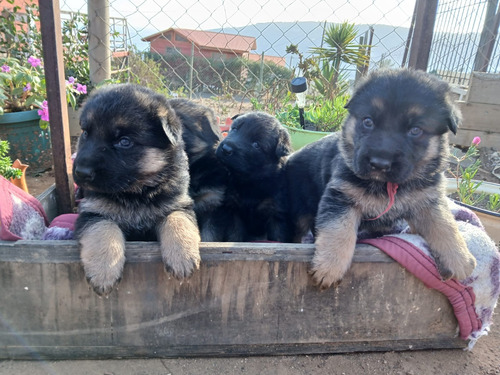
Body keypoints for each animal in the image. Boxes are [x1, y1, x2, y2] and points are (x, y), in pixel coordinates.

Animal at [73, 85, 201, 296]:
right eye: (85, 133)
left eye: (124, 141)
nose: (81, 173)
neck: (136, 192)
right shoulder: (92, 212)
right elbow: (103, 228)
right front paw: (104, 271)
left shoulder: (179, 204)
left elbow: (177, 219)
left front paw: (183, 256)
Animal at [215, 111, 292, 242]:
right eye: (235, 129)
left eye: (256, 144)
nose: (226, 149)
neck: (250, 181)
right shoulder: (233, 211)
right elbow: (235, 236)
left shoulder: (276, 213)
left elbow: (277, 238)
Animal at [286, 69, 476, 290]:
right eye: (368, 121)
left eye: (415, 130)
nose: (379, 163)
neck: (387, 186)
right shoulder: (341, 197)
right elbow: (339, 230)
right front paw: (329, 266)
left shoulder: (427, 200)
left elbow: (444, 224)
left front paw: (460, 258)